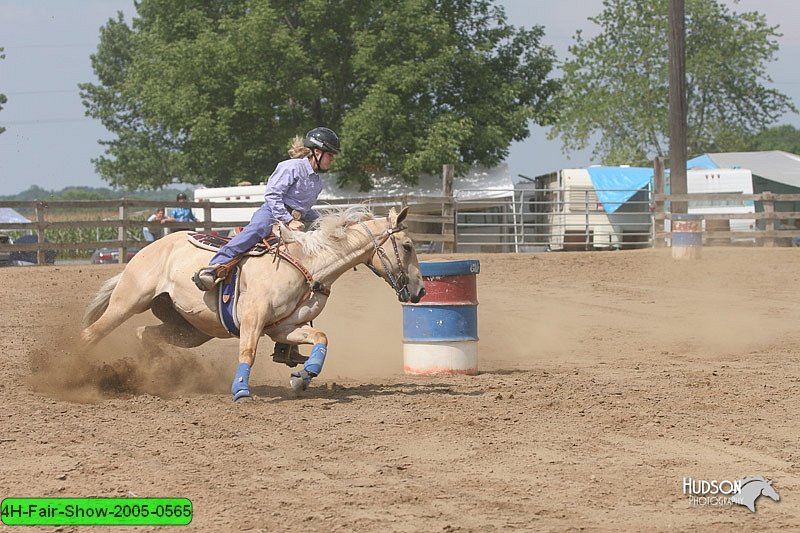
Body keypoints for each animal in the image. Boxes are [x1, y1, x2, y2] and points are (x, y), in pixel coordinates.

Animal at [81, 208, 428, 400]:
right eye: (408, 246)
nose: (420, 291)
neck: (310, 264)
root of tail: (148, 249)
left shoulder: (284, 328)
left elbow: (321, 338)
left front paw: (304, 375)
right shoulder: (252, 319)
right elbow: (247, 351)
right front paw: (240, 391)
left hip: (191, 329)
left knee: (145, 334)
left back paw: (156, 371)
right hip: (128, 301)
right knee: (91, 334)